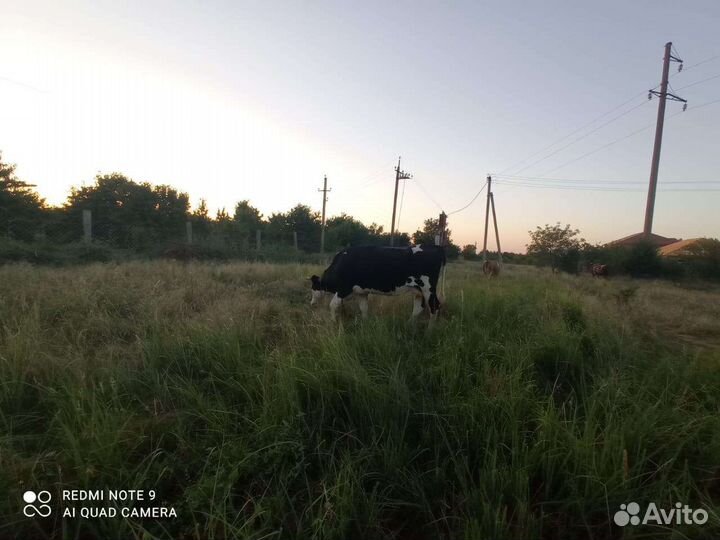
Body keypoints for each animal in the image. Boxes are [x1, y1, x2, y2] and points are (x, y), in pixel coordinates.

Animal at [310, 245, 446, 321]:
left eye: (313, 288)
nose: (311, 304)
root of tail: (436, 247)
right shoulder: (361, 292)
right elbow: (364, 308)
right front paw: (365, 323)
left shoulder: (343, 289)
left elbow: (333, 305)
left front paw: (333, 322)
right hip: (418, 291)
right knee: (418, 308)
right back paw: (409, 325)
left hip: (428, 288)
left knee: (435, 307)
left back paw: (429, 333)